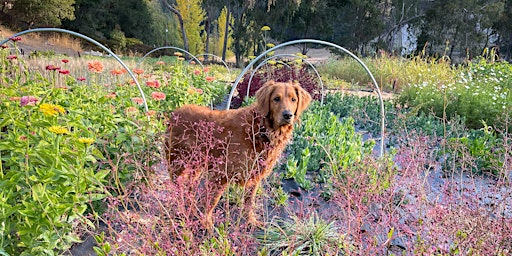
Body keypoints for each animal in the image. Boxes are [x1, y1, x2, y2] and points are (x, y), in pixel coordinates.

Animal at [166, 81, 314, 227]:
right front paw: (207, 224)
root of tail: (174, 113)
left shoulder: (254, 175)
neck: (260, 130)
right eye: (276, 99)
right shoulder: (221, 174)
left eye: (293, 99)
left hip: (195, 165)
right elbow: (211, 202)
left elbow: (249, 202)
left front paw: (250, 221)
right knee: (177, 188)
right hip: (178, 164)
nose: (288, 115)